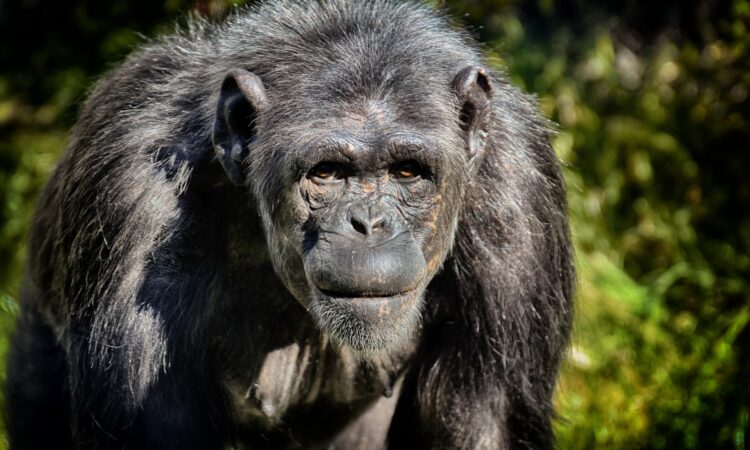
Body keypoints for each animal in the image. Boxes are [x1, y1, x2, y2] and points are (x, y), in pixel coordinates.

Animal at [5, 1, 574, 449]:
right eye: (326, 173)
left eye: (408, 172)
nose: (369, 223)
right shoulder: (130, 202)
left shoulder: (518, 202)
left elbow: (483, 422)